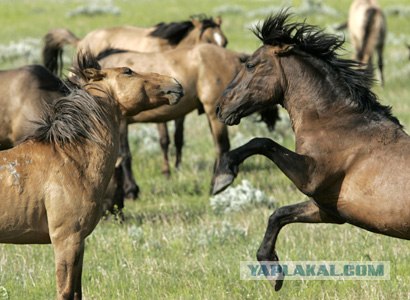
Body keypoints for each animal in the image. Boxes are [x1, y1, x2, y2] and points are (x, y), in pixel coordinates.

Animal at [0, 50, 183, 298]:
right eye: (128, 71)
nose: (175, 84)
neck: (71, 159)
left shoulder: (79, 242)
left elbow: (77, 292)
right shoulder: (66, 240)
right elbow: (65, 291)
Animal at [213, 11, 408, 290]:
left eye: (250, 65)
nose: (220, 108)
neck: (337, 121)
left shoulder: (311, 178)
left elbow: (262, 142)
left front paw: (223, 176)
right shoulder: (328, 210)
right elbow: (278, 215)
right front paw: (273, 271)